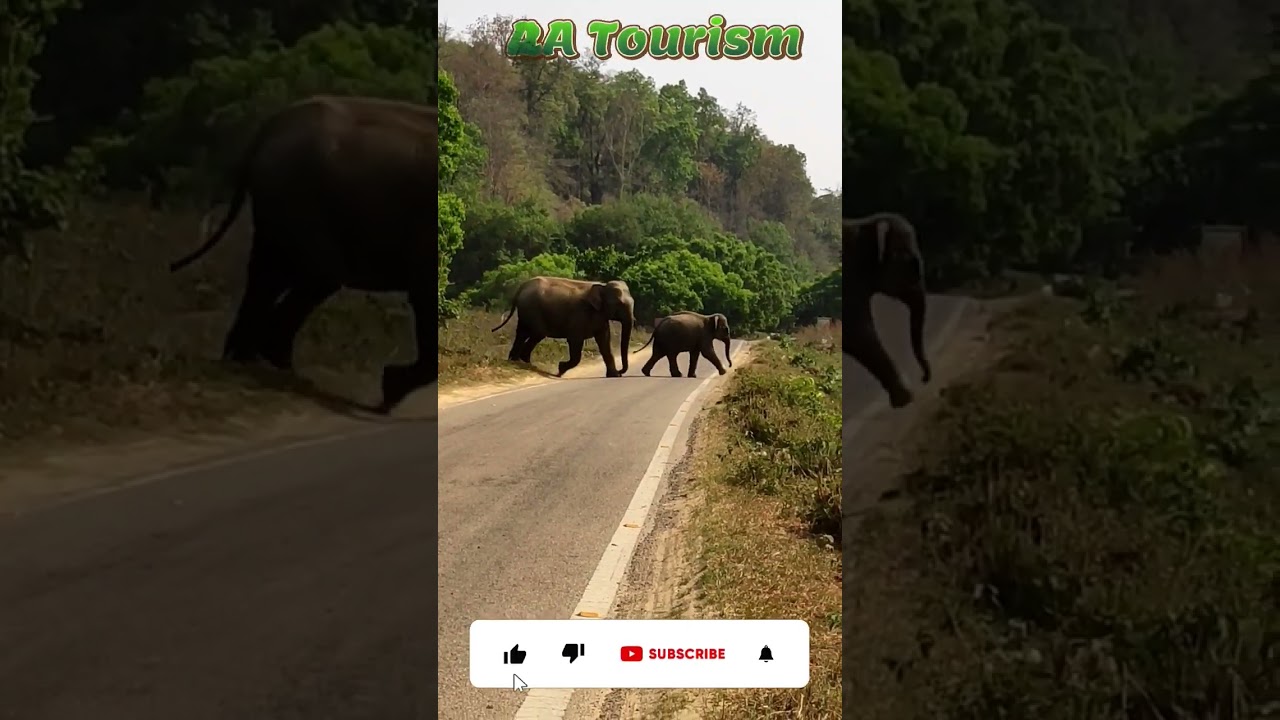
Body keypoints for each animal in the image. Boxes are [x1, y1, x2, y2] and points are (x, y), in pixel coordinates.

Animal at [167, 95, 437, 413]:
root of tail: (271, 125)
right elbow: (425, 292)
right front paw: (389, 389)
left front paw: (390, 388)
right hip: (299, 198)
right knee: (316, 274)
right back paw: (278, 366)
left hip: (280, 206)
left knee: (266, 275)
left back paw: (242, 360)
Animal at [491, 276, 635, 377]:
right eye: (619, 304)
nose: (621, 371)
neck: (602, 285)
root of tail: (523, 286)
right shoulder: (579, 315)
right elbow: (575, 342)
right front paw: (560, 369)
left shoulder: (600, 316)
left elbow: (604, 342)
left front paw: (614, 375)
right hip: (532, 309)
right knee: (535, 333)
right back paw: (524, 362)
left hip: (526, 311)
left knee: (524, 333)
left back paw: (518, 361)